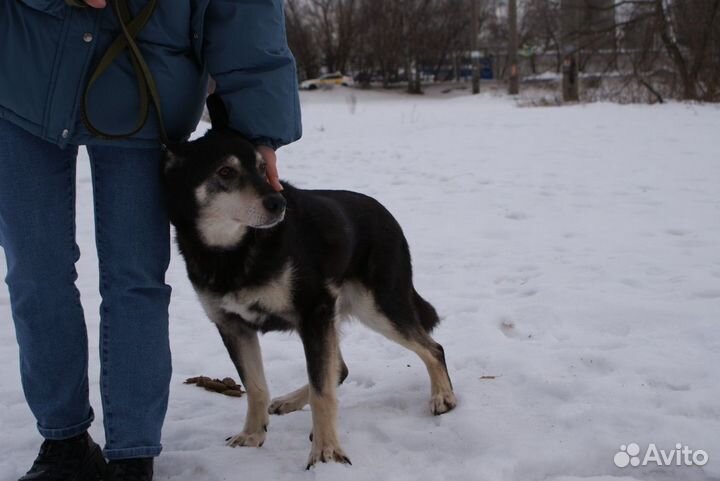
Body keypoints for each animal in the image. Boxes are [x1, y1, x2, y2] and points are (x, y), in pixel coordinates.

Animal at [165, 95, 456, 466]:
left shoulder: (313, 312)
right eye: (225, 172)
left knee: (432, 348)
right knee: (341, 368)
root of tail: (387, 215)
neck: (234, 251)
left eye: (262, 168)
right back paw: (289, 400)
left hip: (376, 307)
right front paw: (252, 436)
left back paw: (443, 396)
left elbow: (322, 391)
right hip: (337, 316)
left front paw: (327, 451)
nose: (279, 203)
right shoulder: (233, 325)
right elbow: (257, 387)